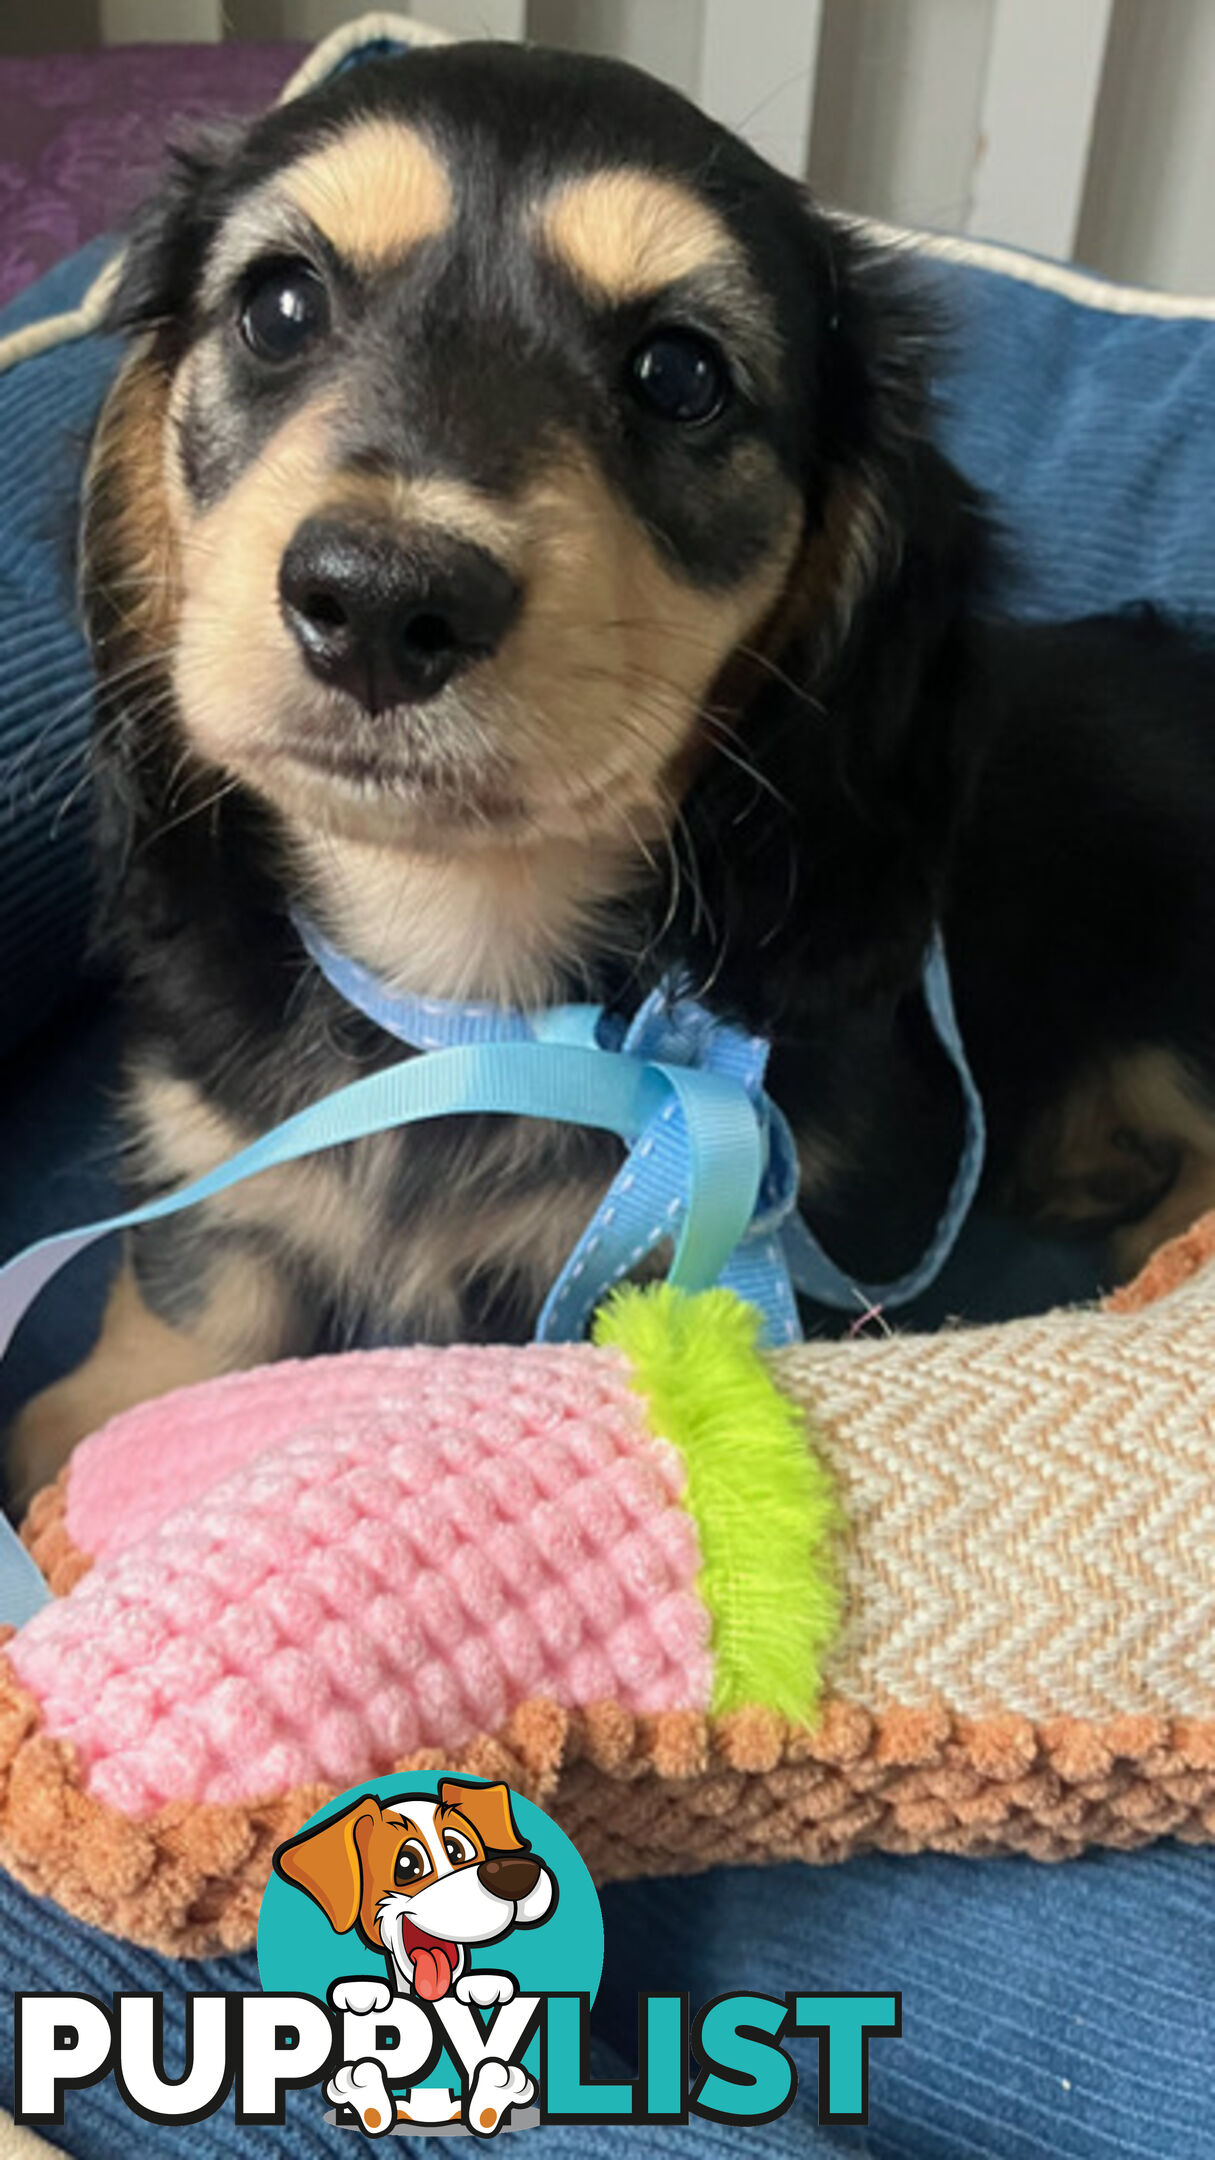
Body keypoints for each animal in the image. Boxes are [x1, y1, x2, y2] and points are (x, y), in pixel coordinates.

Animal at [11, 46, 1210, 1503]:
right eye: (279, 308)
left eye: (679, 373)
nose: (380, 602)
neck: (463, 995)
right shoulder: (219, 1165)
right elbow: (183, 1296)